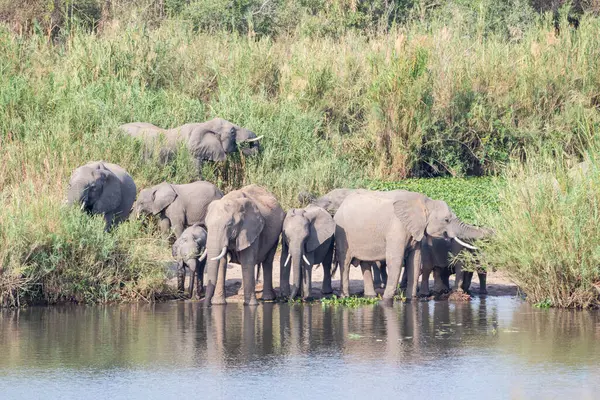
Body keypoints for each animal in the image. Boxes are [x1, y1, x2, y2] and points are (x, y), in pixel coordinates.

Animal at [336, 191, 490, 304]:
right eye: (446, 220)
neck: (426, 202)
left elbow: (415, 261)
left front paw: (411, 300)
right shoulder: (397, 227)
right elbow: (396, 260)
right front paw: (386, 302)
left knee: (365, 263)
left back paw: (370, 297)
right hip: (342, 233)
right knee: (345, 262)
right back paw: (345, 297)